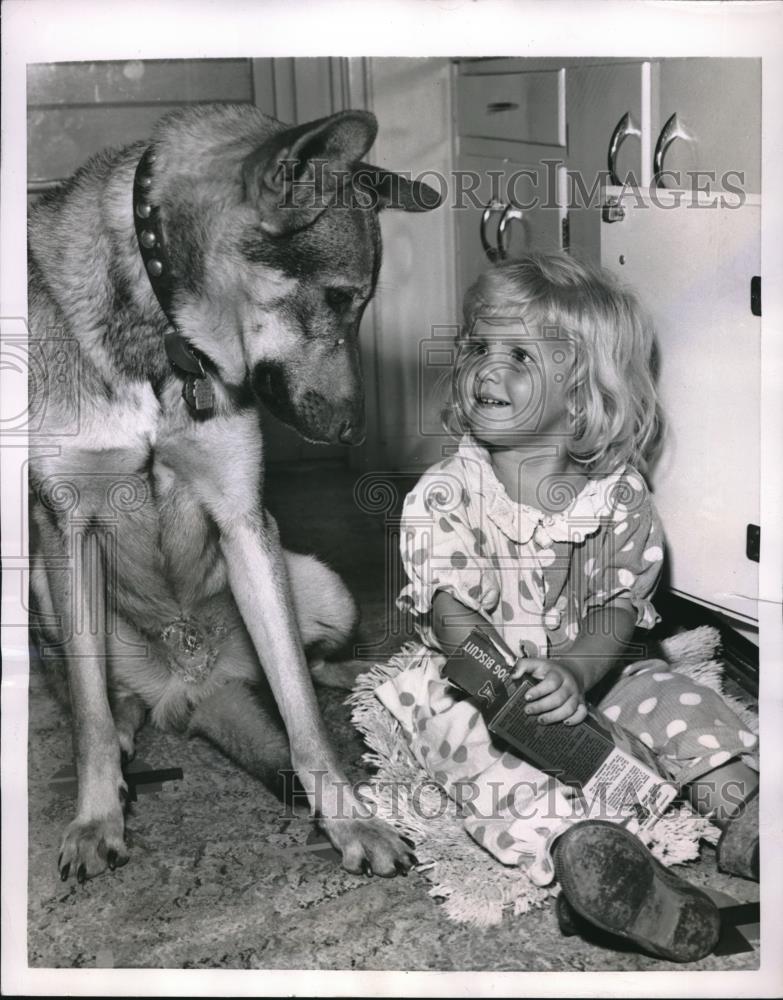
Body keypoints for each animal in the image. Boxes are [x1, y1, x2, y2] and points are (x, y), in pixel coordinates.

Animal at [29, 101, 440, 884]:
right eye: (338, 298)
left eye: (358, 304)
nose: (353, 431)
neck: (161, 343)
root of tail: (190, 688)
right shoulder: (67, 528)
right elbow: (88, 717)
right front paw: (96, 820)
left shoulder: (246, 525)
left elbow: (302, 716)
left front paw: (350, 820)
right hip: (40, 588)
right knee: (103, 699)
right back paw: (123, 742)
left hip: (320, 585)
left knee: (311, 668)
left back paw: (362, 674)